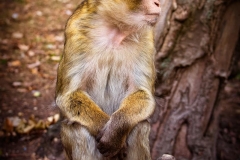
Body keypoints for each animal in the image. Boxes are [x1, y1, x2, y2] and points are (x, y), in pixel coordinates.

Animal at [55, 0, 161, 159]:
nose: (158, 3)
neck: (115, 31)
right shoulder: (76, 31)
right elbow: (67, 96)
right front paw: (102, 125)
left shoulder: (147, 39)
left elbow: (143, 94)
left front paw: (115, 133)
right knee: (78, 130)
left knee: (140, 126)